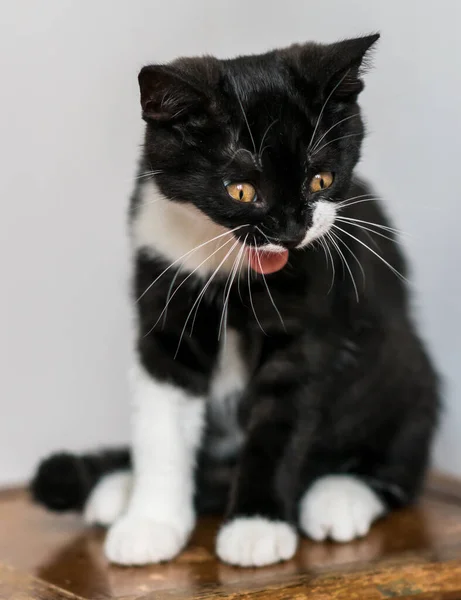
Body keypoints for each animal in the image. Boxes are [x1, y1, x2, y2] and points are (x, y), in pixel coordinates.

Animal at [31, 35, 438, 568]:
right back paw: (118, 487)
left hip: (401, 366)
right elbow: (160, 422)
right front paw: (150, 523)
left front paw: (255, 527)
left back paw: (339, 495)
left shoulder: (306, 324)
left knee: (401, 456)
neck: (227, 260)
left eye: (321, 180)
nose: (291, 231)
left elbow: (280, 424)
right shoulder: (164, 288)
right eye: (241, 190)